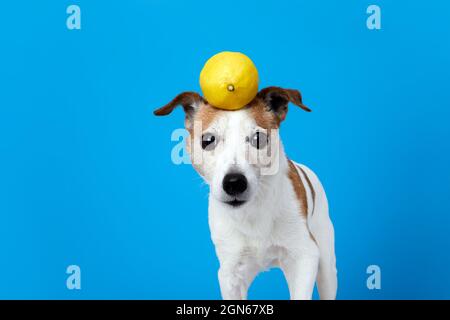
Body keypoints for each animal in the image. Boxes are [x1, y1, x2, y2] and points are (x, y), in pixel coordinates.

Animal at [153, 86, 336, 298]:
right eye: (207, 140)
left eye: (258, 139)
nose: (234, 183)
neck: (252, 212)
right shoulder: (230, 274)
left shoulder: (305, 257)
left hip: (327, 267)